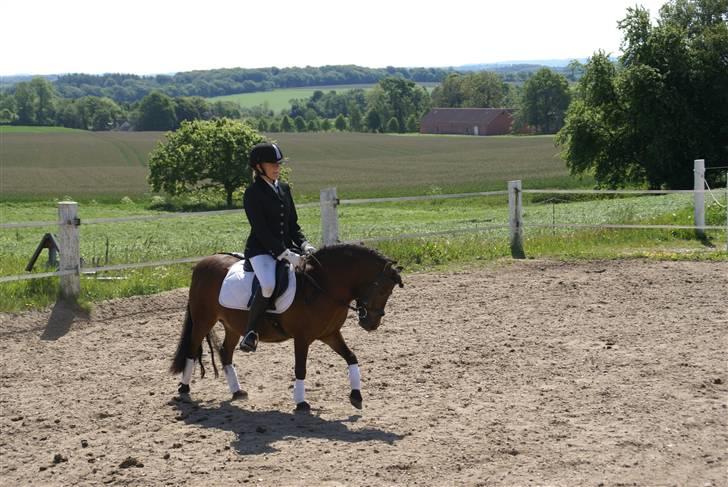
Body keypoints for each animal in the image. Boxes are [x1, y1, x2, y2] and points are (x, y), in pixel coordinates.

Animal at [170, 244, 404, 412]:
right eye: (382, 290)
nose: (371, 324)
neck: (323, 285)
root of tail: (202, 263)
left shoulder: (330, 334)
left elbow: (351, 357)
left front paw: (356, 396)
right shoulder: (302, 338)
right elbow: (301, 368)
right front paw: (301, 403)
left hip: (232, 326)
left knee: (225, 352)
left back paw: (237, 391)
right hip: (203, 319)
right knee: (192, 349)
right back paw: (184, 389)